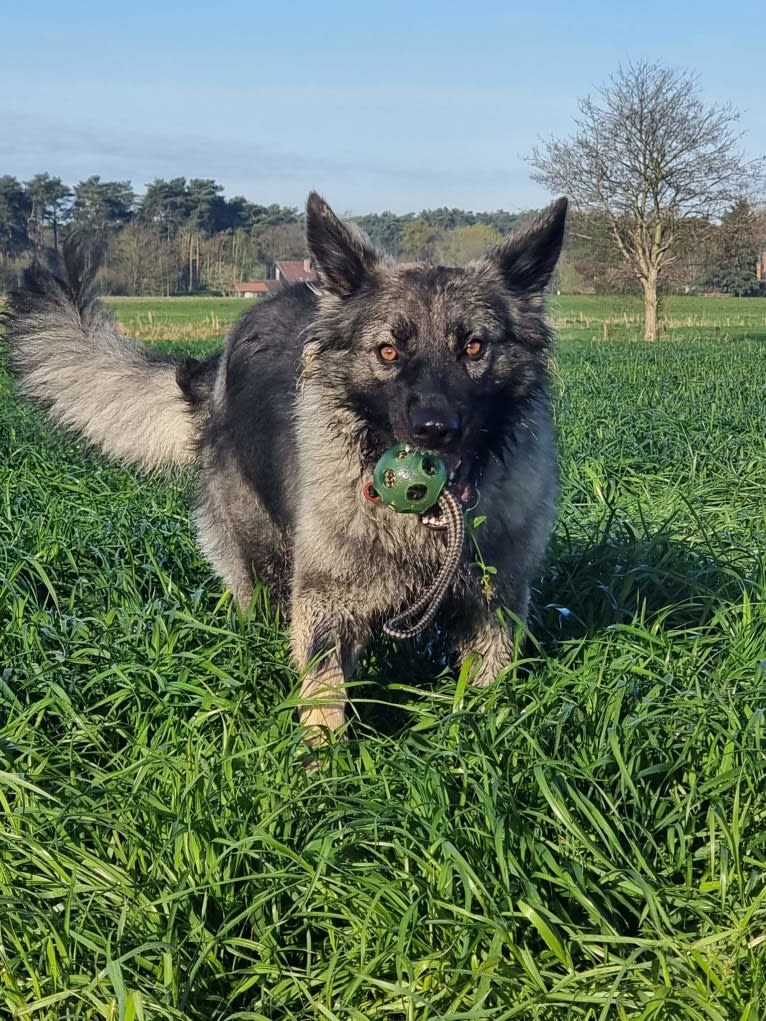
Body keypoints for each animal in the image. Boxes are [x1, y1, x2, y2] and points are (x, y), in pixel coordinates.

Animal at [6, 189, 571, 735]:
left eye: (473, 347)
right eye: (388, 352)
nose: (434, 429)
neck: (417, 527)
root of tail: (212, 367)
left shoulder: (494, 607)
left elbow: (487, 697)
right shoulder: (325, 602)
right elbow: (324, 696)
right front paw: (324, 760)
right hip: (264, 561)